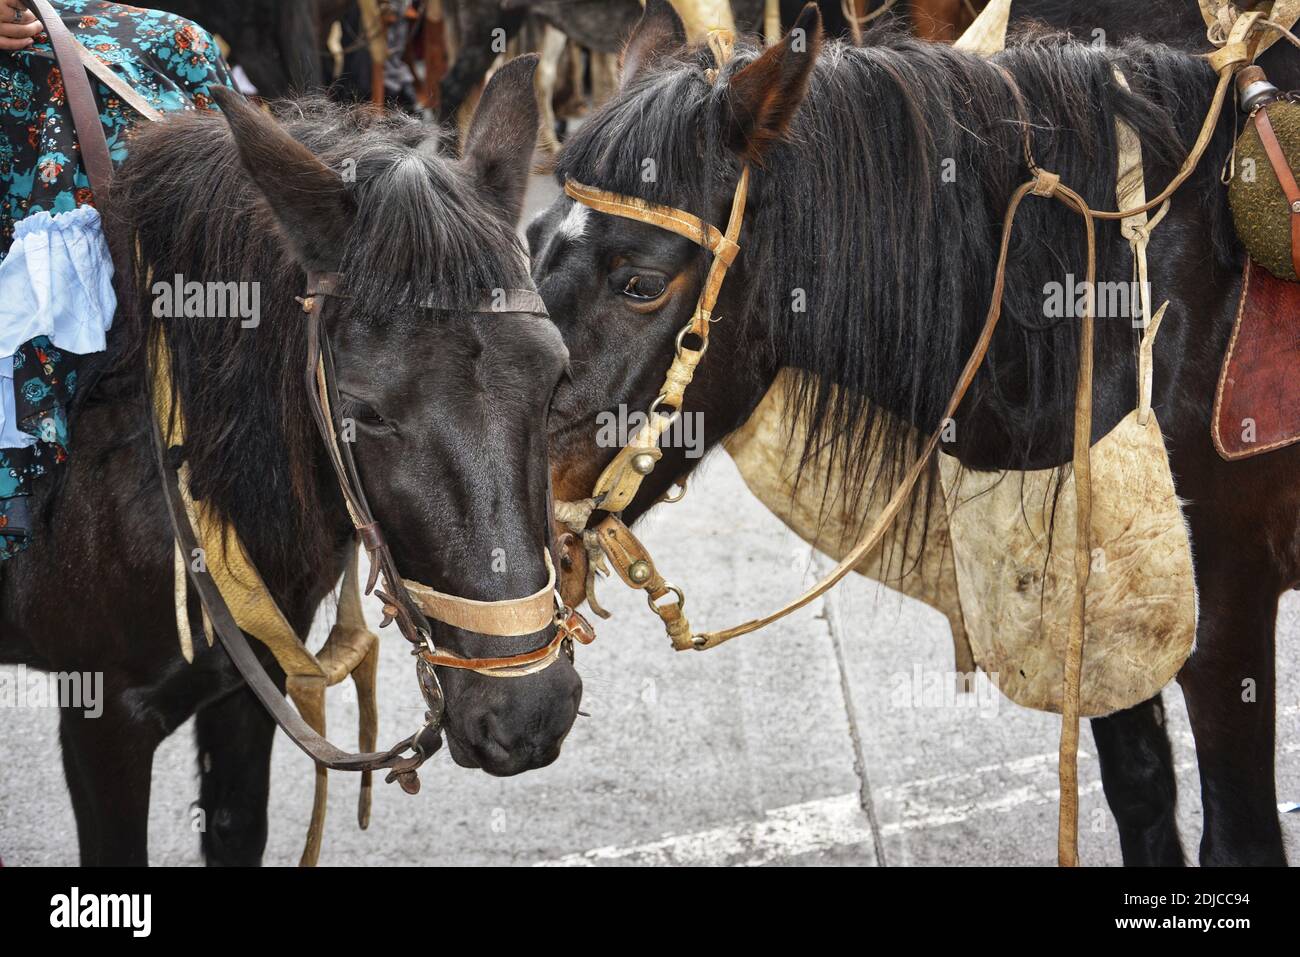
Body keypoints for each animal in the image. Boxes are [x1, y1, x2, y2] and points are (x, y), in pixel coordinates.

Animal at [0, 55, 581, 866]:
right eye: (364, 412)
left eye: (554, 377)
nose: (528, 710)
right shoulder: (103, 712)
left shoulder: (254, 684)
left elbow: (238, 827)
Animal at [530, 0, 1299, 865]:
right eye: (532, 243)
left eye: (641, 283)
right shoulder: (1094, 613)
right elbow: (1140, 794)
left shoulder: (1226, 616)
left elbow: (1240, 838)